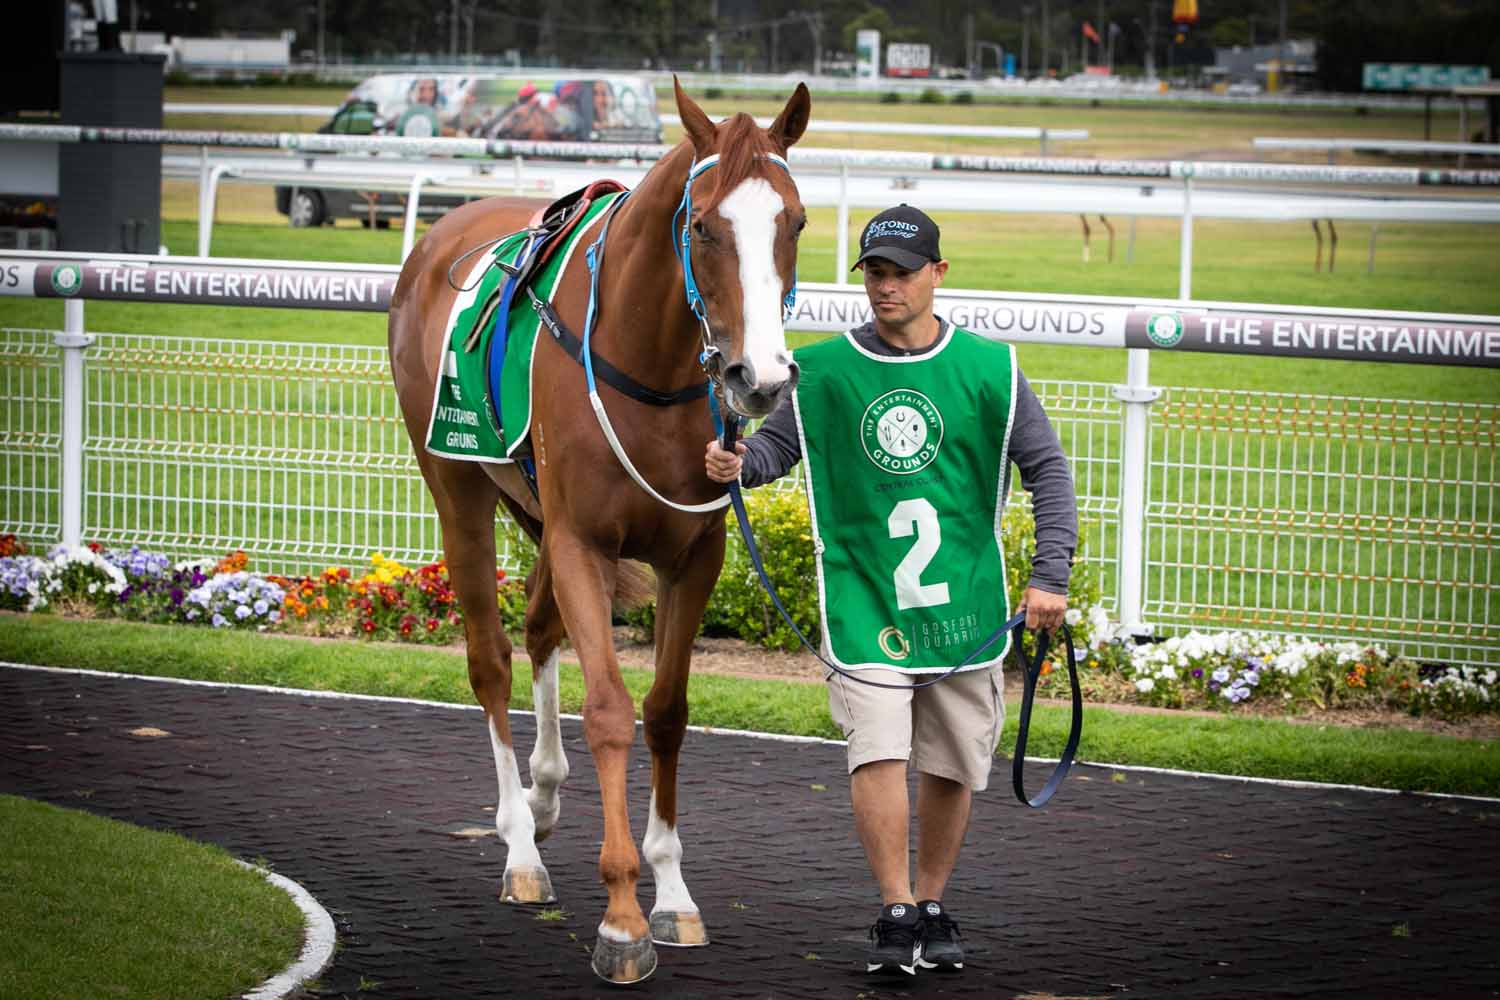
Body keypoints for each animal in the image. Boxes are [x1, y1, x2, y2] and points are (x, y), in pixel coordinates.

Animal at [387, 80, 810, 983]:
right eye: (702, 226)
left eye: (792, 221)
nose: (758, 379)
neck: (649, 367)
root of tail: (443, 230)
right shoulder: (584, 540)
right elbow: (612, 709)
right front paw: (621, 917)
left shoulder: (695, 555)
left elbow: (666, 712)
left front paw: (673, 894)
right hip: (455, 485)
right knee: (492, 658)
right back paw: (520, 845)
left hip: (536, 511)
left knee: (541, 626)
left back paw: (545, 791)